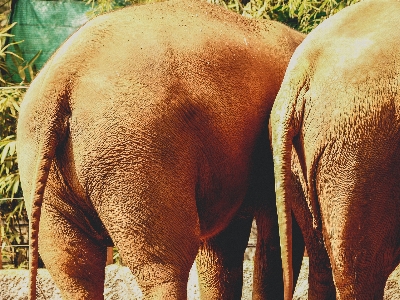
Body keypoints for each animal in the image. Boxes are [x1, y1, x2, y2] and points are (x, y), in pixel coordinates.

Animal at [14, 0, 304, 298]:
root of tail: (62, 81)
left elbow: (222, 245)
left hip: (43, 165)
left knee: (72, 265)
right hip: (136, 157)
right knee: (164, 264)